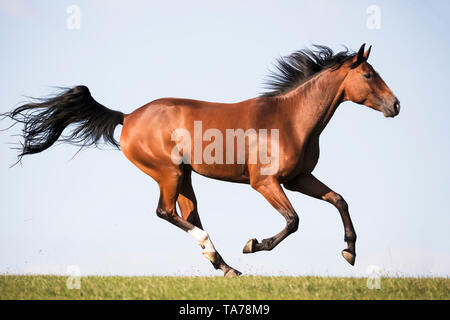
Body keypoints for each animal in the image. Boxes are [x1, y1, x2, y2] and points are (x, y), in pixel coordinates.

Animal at [1, 43, 400, 276]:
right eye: (368, 74)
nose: (396, 105)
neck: (289, 119)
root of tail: (127, 117)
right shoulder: (265, 182)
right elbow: (293, 220)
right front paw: (253, 244)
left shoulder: (298, 179)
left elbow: (339, 199)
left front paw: (349, 251)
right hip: (168, 172)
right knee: (167, 212)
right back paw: (216, 252)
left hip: (185, 176)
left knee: (188, 213)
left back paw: (226, 267)